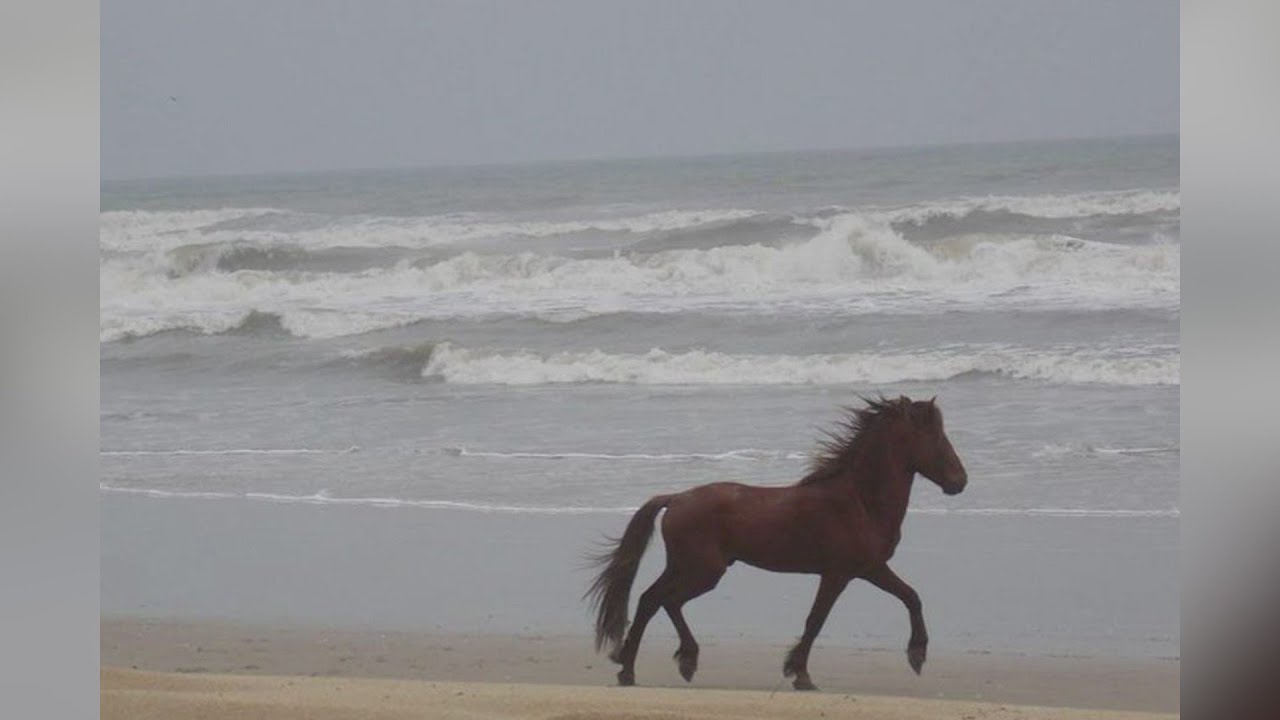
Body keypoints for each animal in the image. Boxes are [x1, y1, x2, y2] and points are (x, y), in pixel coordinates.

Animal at [585, 395, 968, 691]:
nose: (960, 481)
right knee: (665, 600)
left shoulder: (869, 568)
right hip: (702, 572)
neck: (860, 501)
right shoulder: (841, 573)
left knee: (651, 600)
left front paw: (916, 655)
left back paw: (634, 668)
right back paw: (671, 663)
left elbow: (910, 596)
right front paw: (801, 675)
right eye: (935, 436)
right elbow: (817, 620)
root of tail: (676, 499)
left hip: (686, 567)